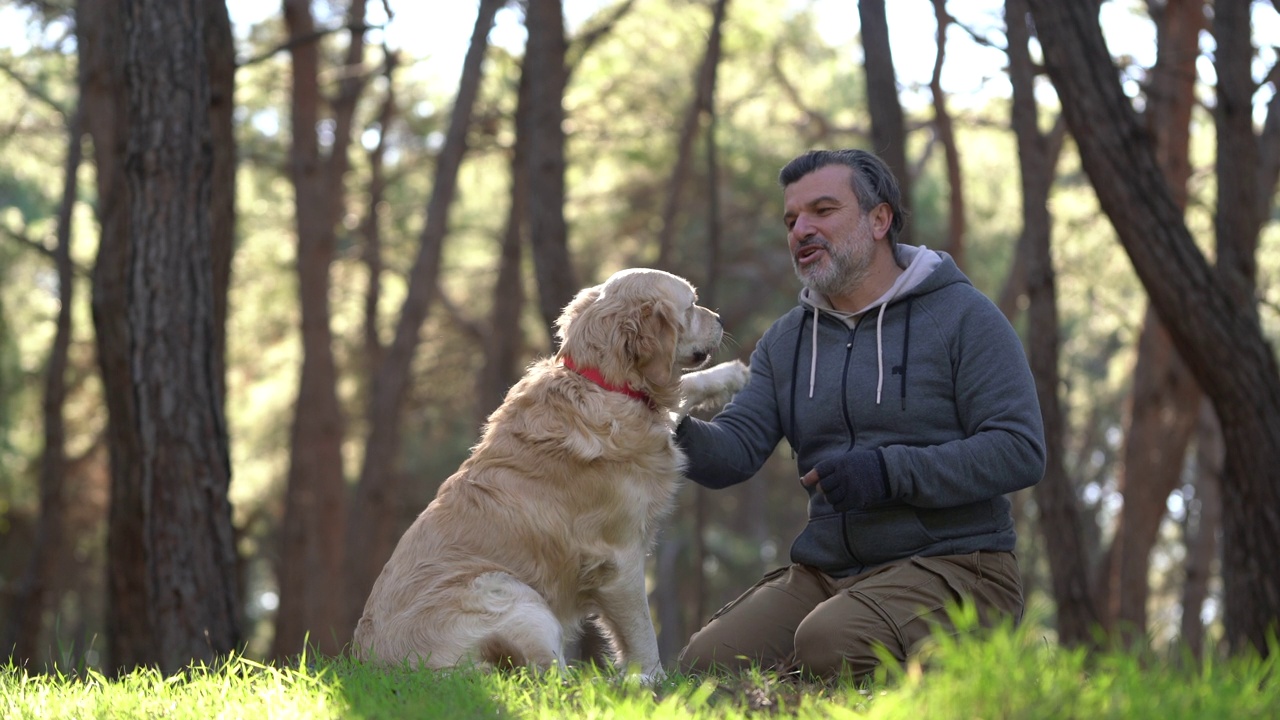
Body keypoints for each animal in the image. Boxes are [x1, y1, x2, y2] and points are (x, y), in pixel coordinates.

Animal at [350, 267, 747, 676]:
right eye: (692, 304)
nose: (720, 319)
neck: (601, 383)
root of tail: (378, 665)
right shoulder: (619, 560)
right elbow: (642, 634)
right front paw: (653, 681)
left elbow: (682, 391)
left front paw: (733, 374)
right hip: (512, 594)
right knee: (545, 675)